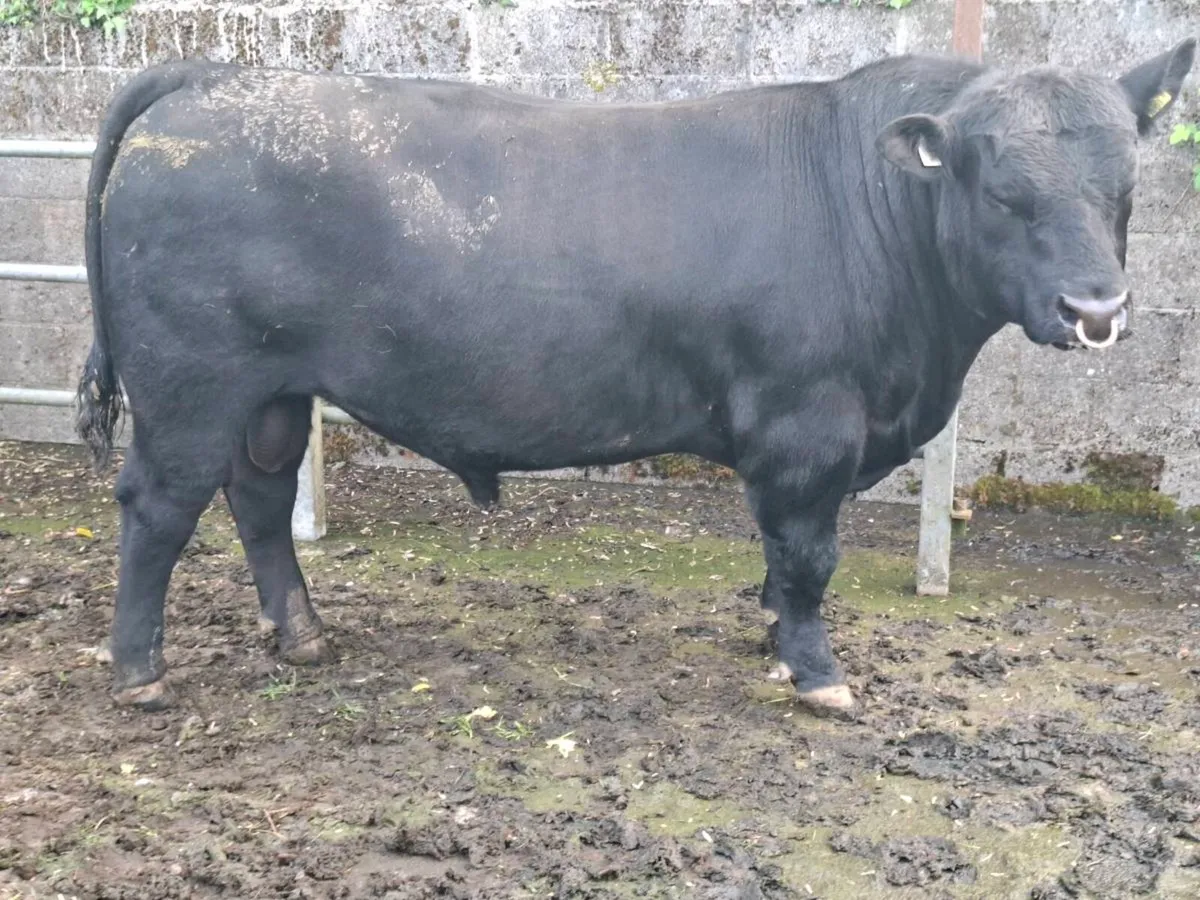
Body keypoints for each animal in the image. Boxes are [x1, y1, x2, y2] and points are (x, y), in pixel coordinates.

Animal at [74, 40, 1195, 715]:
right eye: (1004, 192)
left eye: (1126, 192)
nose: (1097, 312)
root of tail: (210, 78)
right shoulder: (806, 428)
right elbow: (807, 556)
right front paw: (816, 672)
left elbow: (780, 564)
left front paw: (776, 643)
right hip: (190, 388)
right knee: (158, 510)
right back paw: (138, 672)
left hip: (270, 394)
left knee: (260, 500)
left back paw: (303, 637)